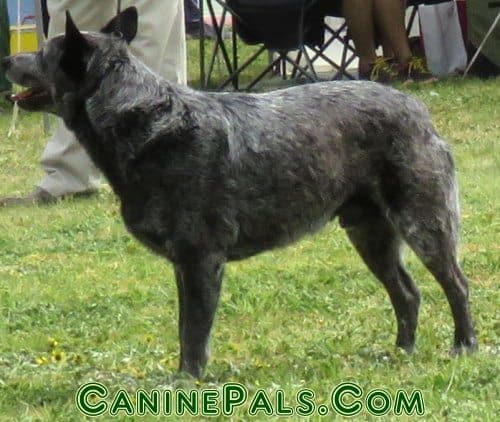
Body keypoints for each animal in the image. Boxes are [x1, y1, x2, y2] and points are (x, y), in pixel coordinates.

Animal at [2, 5, 476, 376]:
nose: (8, 58)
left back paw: (464, 345)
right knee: (407, 293)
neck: (147, 122)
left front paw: (186, 384)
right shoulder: (184, 264)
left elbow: (194, 334)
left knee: (457, 283)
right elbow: (184, 329)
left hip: (423, 222)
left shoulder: (200, 258)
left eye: (42, 54)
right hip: (369, 233)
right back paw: (401, 352)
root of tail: (417, 108)